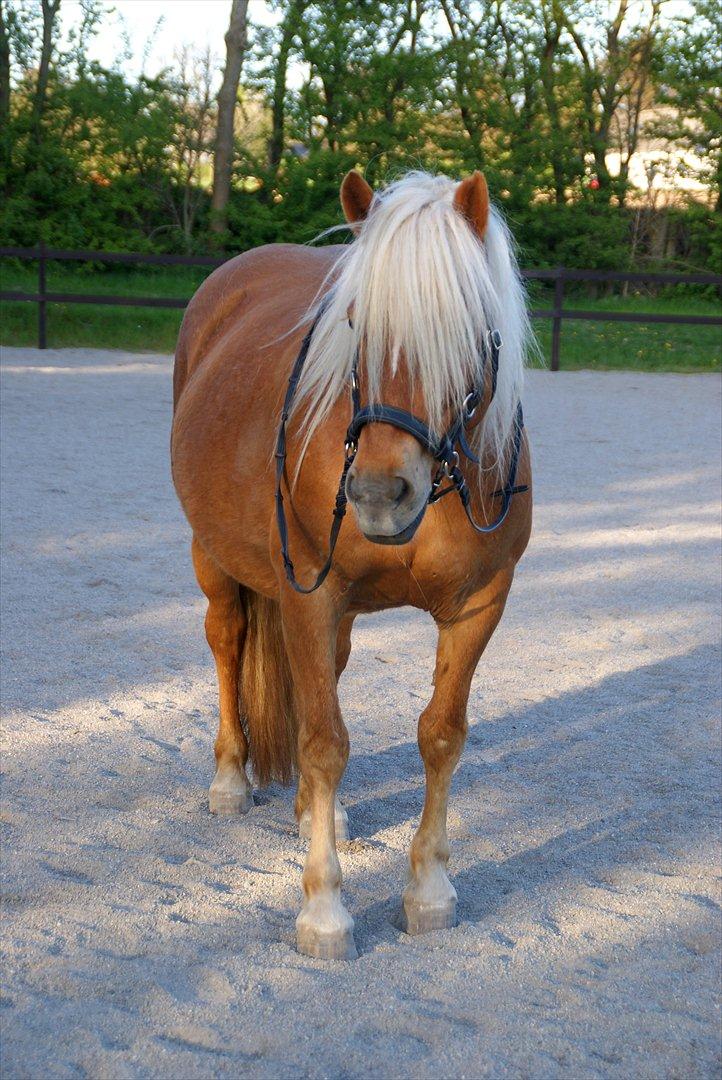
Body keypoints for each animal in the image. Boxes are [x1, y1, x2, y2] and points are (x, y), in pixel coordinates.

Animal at [169, 168, 528, 963]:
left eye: (466, 330)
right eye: (356, 326)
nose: (376, 494)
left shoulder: (480, 606)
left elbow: (440, 735)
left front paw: (428, 893)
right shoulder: (310, 594)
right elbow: (325, 742)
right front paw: (325, 912)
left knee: (320, 680)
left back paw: (316, 816)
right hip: (216, 563)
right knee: (228, 646)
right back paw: (230, 781)